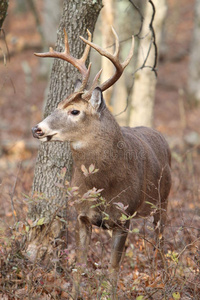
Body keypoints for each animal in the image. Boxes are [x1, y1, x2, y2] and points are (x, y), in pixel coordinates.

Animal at [32, 27, 171, 298]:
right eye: (57, 105)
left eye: (75, 111)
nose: (37, 129)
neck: (103, 183)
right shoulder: (81, 215)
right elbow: (79, 264)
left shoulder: (124, 217)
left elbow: (114, 268)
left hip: (163, 202)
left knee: (160, 243)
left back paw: (164, 281)